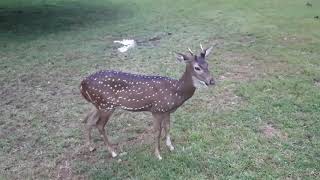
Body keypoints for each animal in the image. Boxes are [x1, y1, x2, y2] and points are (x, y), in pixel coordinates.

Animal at [79, 44, 215, 160]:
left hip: (97, 104)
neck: (175, 92)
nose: (212, 81)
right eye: (197, 67)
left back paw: (91, 147)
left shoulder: (167, 110)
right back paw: (113, 152)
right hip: (106, 105)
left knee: (88, 120)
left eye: (207, 64)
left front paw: (171, 147)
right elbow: (157, 132)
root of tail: (82, 84)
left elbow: (168, 127)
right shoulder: (157, 110)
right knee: (99, 125)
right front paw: (158, 154)